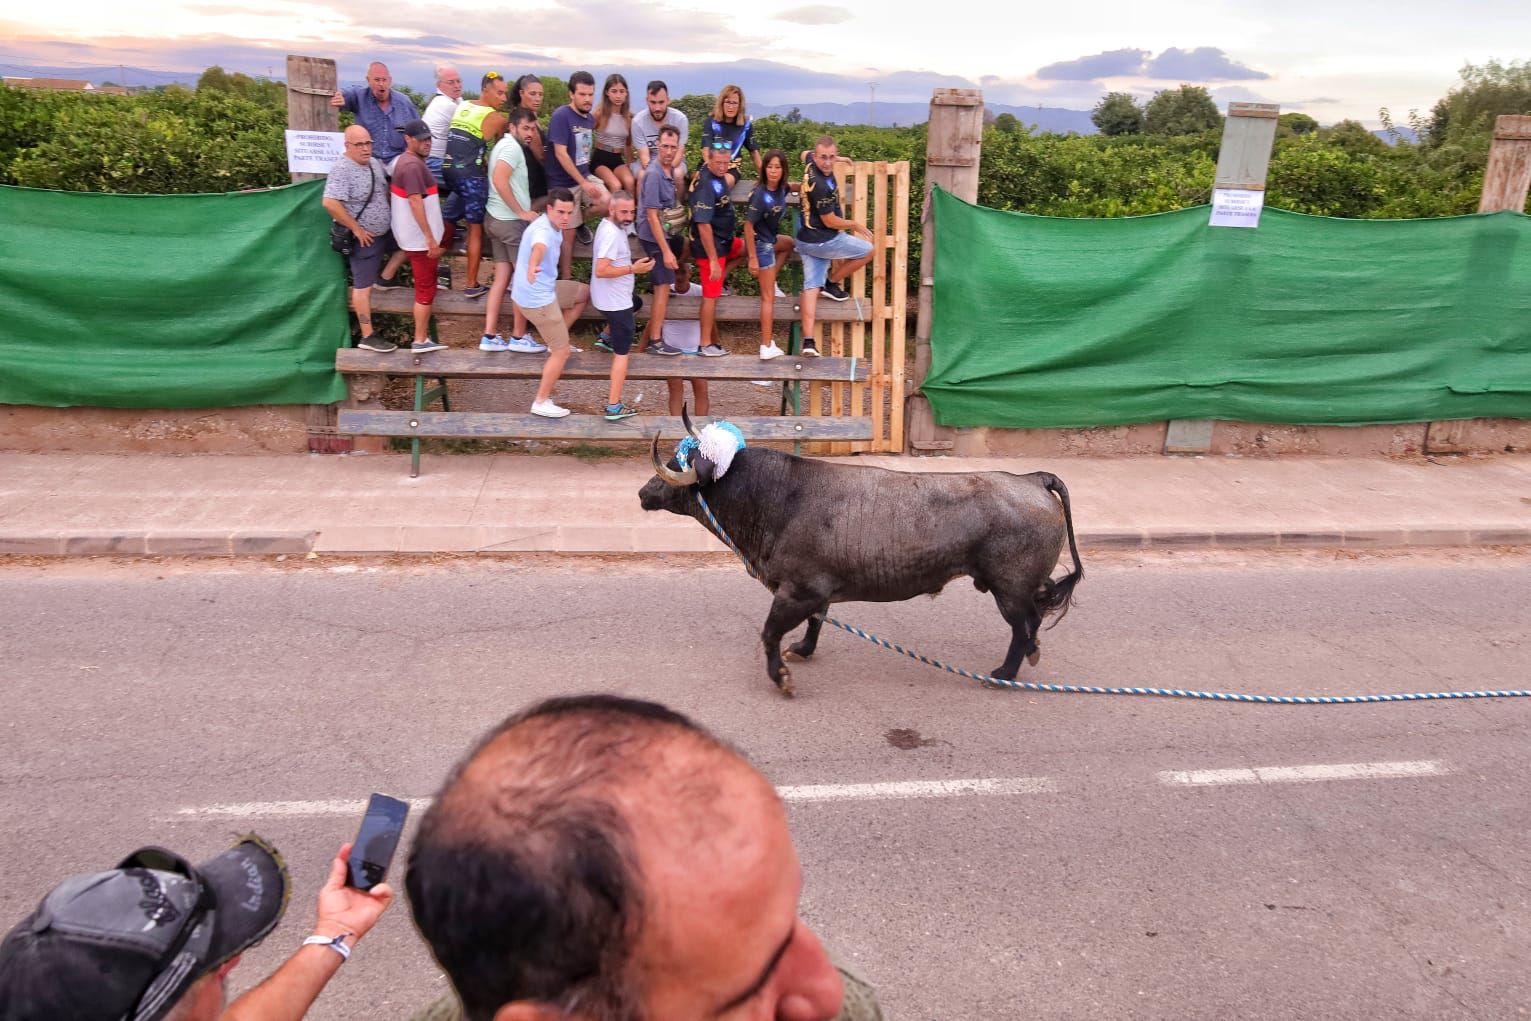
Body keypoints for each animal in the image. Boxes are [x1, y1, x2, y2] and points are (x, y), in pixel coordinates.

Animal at [639, 428, 1083, 698]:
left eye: (678, 464)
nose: (643, 492)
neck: (780, 495)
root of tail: (1031, 479)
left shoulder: (798, 591)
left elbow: (770, 632)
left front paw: (781, 677)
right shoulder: (815, 592)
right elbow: (816, 622)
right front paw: (802, 649)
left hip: (1009, 588)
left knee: (1023, 624)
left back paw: (1004, 673)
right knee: (1035, 616)